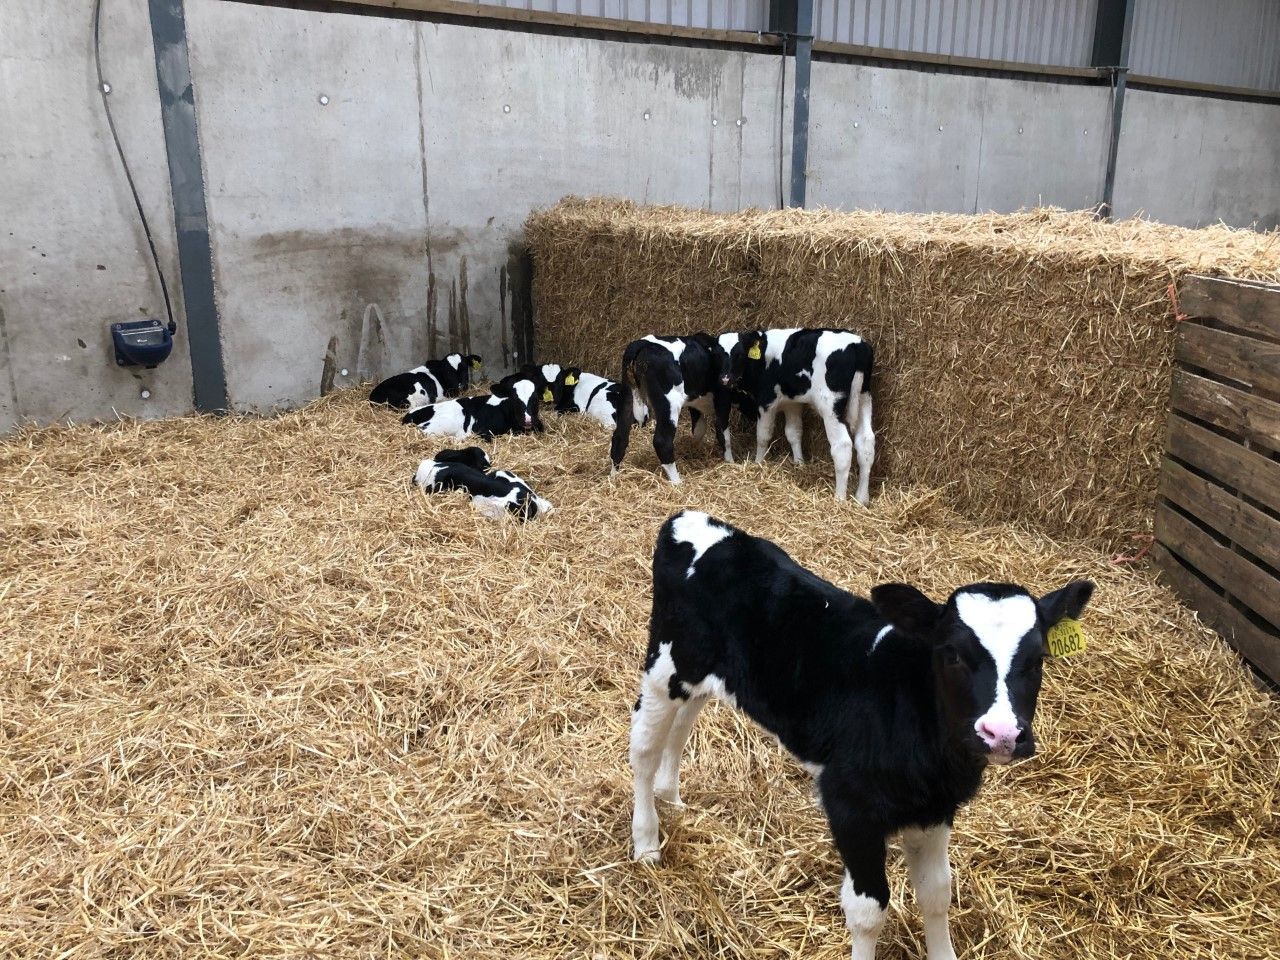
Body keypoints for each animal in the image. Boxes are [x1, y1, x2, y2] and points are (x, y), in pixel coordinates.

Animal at [618, 334, 735, 484]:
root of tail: (642, 343)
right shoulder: (723, 398)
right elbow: (723, 433)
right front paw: (730, 462)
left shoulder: (695, 403)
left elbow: (699, 429)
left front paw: (693, 450)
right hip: (670, 402)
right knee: (662, 441)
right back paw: (677, 482)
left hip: (627, 394)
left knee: (619, 438)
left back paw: (613, 476)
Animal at [629, 510, 1094, 960]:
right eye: (952, 655)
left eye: (1037, 659)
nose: (1002, 733)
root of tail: (692, 519)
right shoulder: (849, 804)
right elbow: (869, 911)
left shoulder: (934, 809)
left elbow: (937, 893)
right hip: (666, 663)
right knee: (645, 749)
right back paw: (647, 842)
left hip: (701, 676)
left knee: (683, 724)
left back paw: (672, 797)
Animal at [721, 329, 875, 504]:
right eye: (718, 354)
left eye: (739, 354)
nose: (725, 378)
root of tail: (857, 344)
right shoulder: (791, 404)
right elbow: (793, 433)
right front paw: (799, 463)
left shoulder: (766, 401)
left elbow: (763, 436)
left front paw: (758, 463)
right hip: (864, 398)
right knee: (866, 443)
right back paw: (862, 498)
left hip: (831, 405)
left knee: (842, 446)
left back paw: (839, 499)